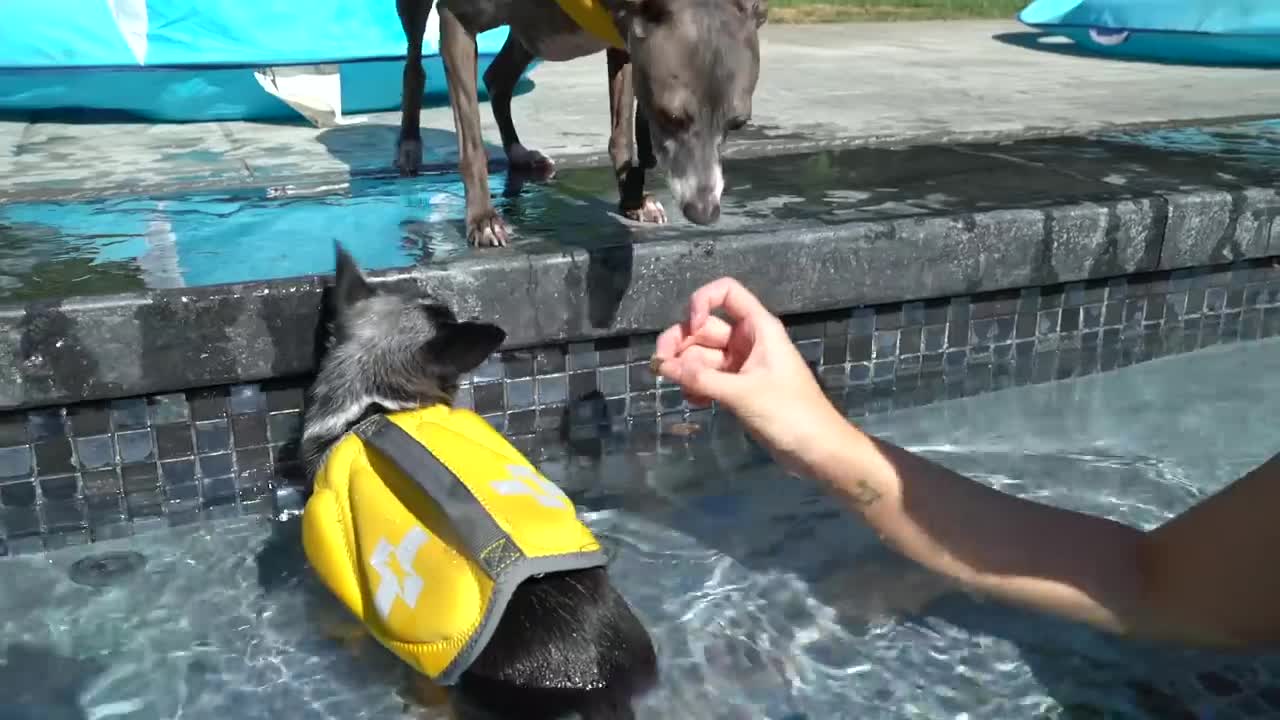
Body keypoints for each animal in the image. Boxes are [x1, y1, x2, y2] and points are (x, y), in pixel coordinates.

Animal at [394, 0, 762, 245]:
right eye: (668, 115)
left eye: (737, 124)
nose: (704, 213)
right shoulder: (458, 18)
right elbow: (471, 145)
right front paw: (483, 219)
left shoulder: (626, 42)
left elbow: (622, 136)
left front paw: (632, 200)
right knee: (414, 64)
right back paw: (409, 146)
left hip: (534, 34)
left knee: (497, 77)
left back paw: (519, 153)